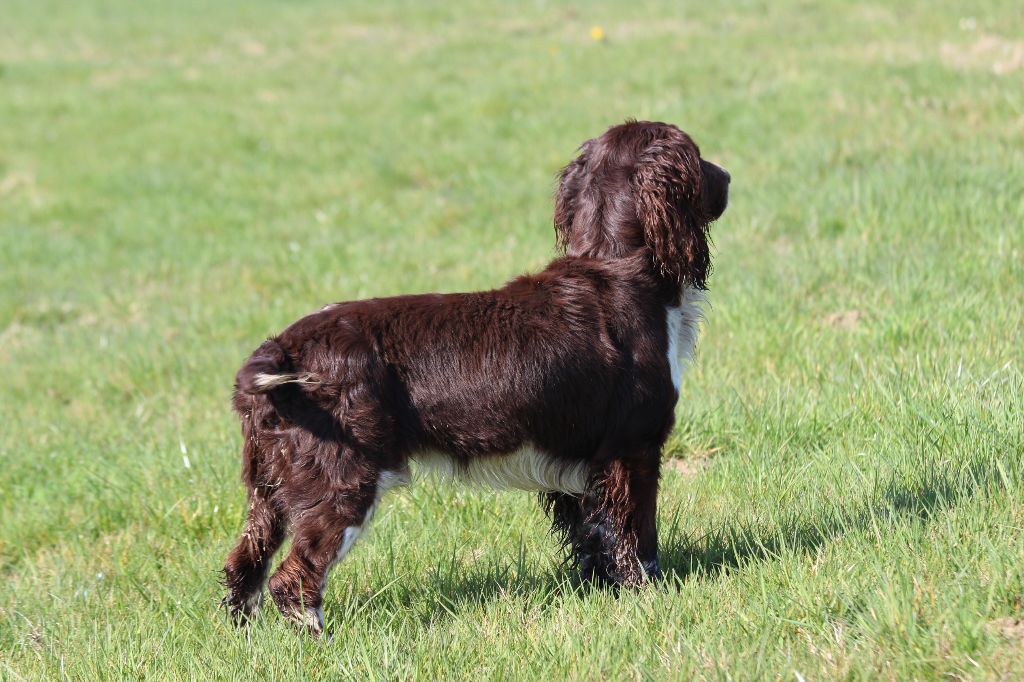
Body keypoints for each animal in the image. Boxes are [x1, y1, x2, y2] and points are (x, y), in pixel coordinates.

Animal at [222, 118, 729, 630]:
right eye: (698, 156)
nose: (727, 175)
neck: (617, 264)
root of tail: (282, 347)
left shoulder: (579, 466)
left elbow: (594, 538)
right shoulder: (633, 447)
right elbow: (637, 539)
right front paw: (649, 597)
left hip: (270, 486)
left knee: (245, 564)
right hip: (342, 480)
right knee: (294, 577)